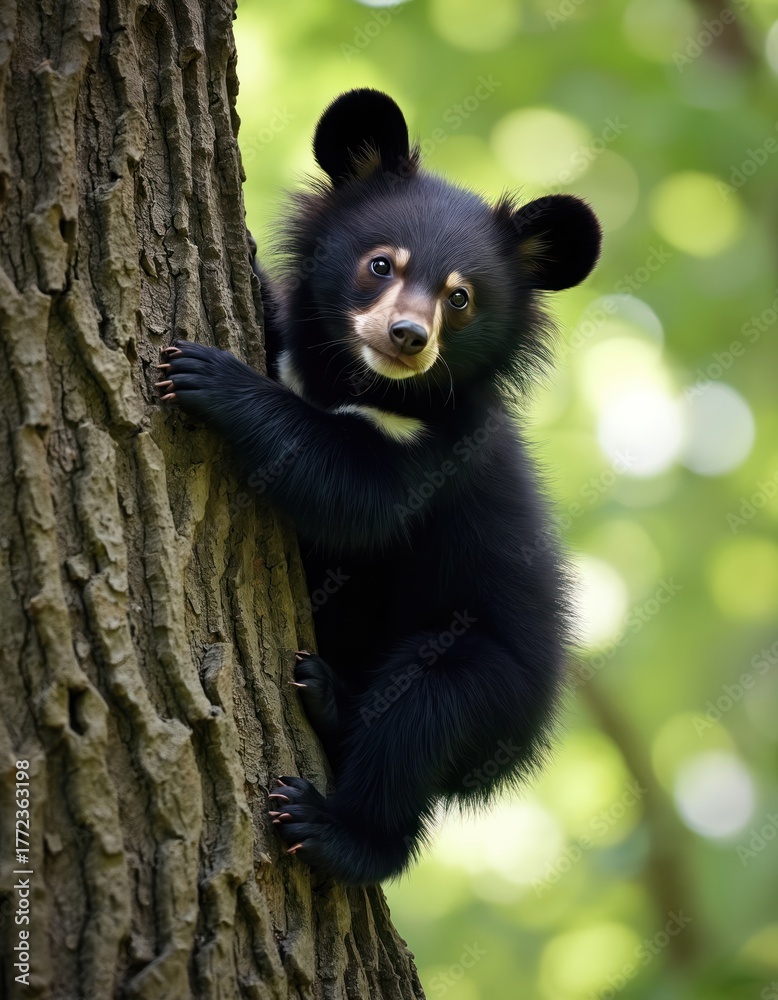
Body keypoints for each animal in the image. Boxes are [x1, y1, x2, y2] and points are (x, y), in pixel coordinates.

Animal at [156, 88, 602, 885]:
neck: (358, 382)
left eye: (461, 297)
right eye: (381, 263)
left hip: (484, 675)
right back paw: (325, 693)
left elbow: (355, 493)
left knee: (416, 723)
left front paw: (205, 375)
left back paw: (335, 827)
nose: (406, 337)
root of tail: (521, 747)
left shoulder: (441, 448)